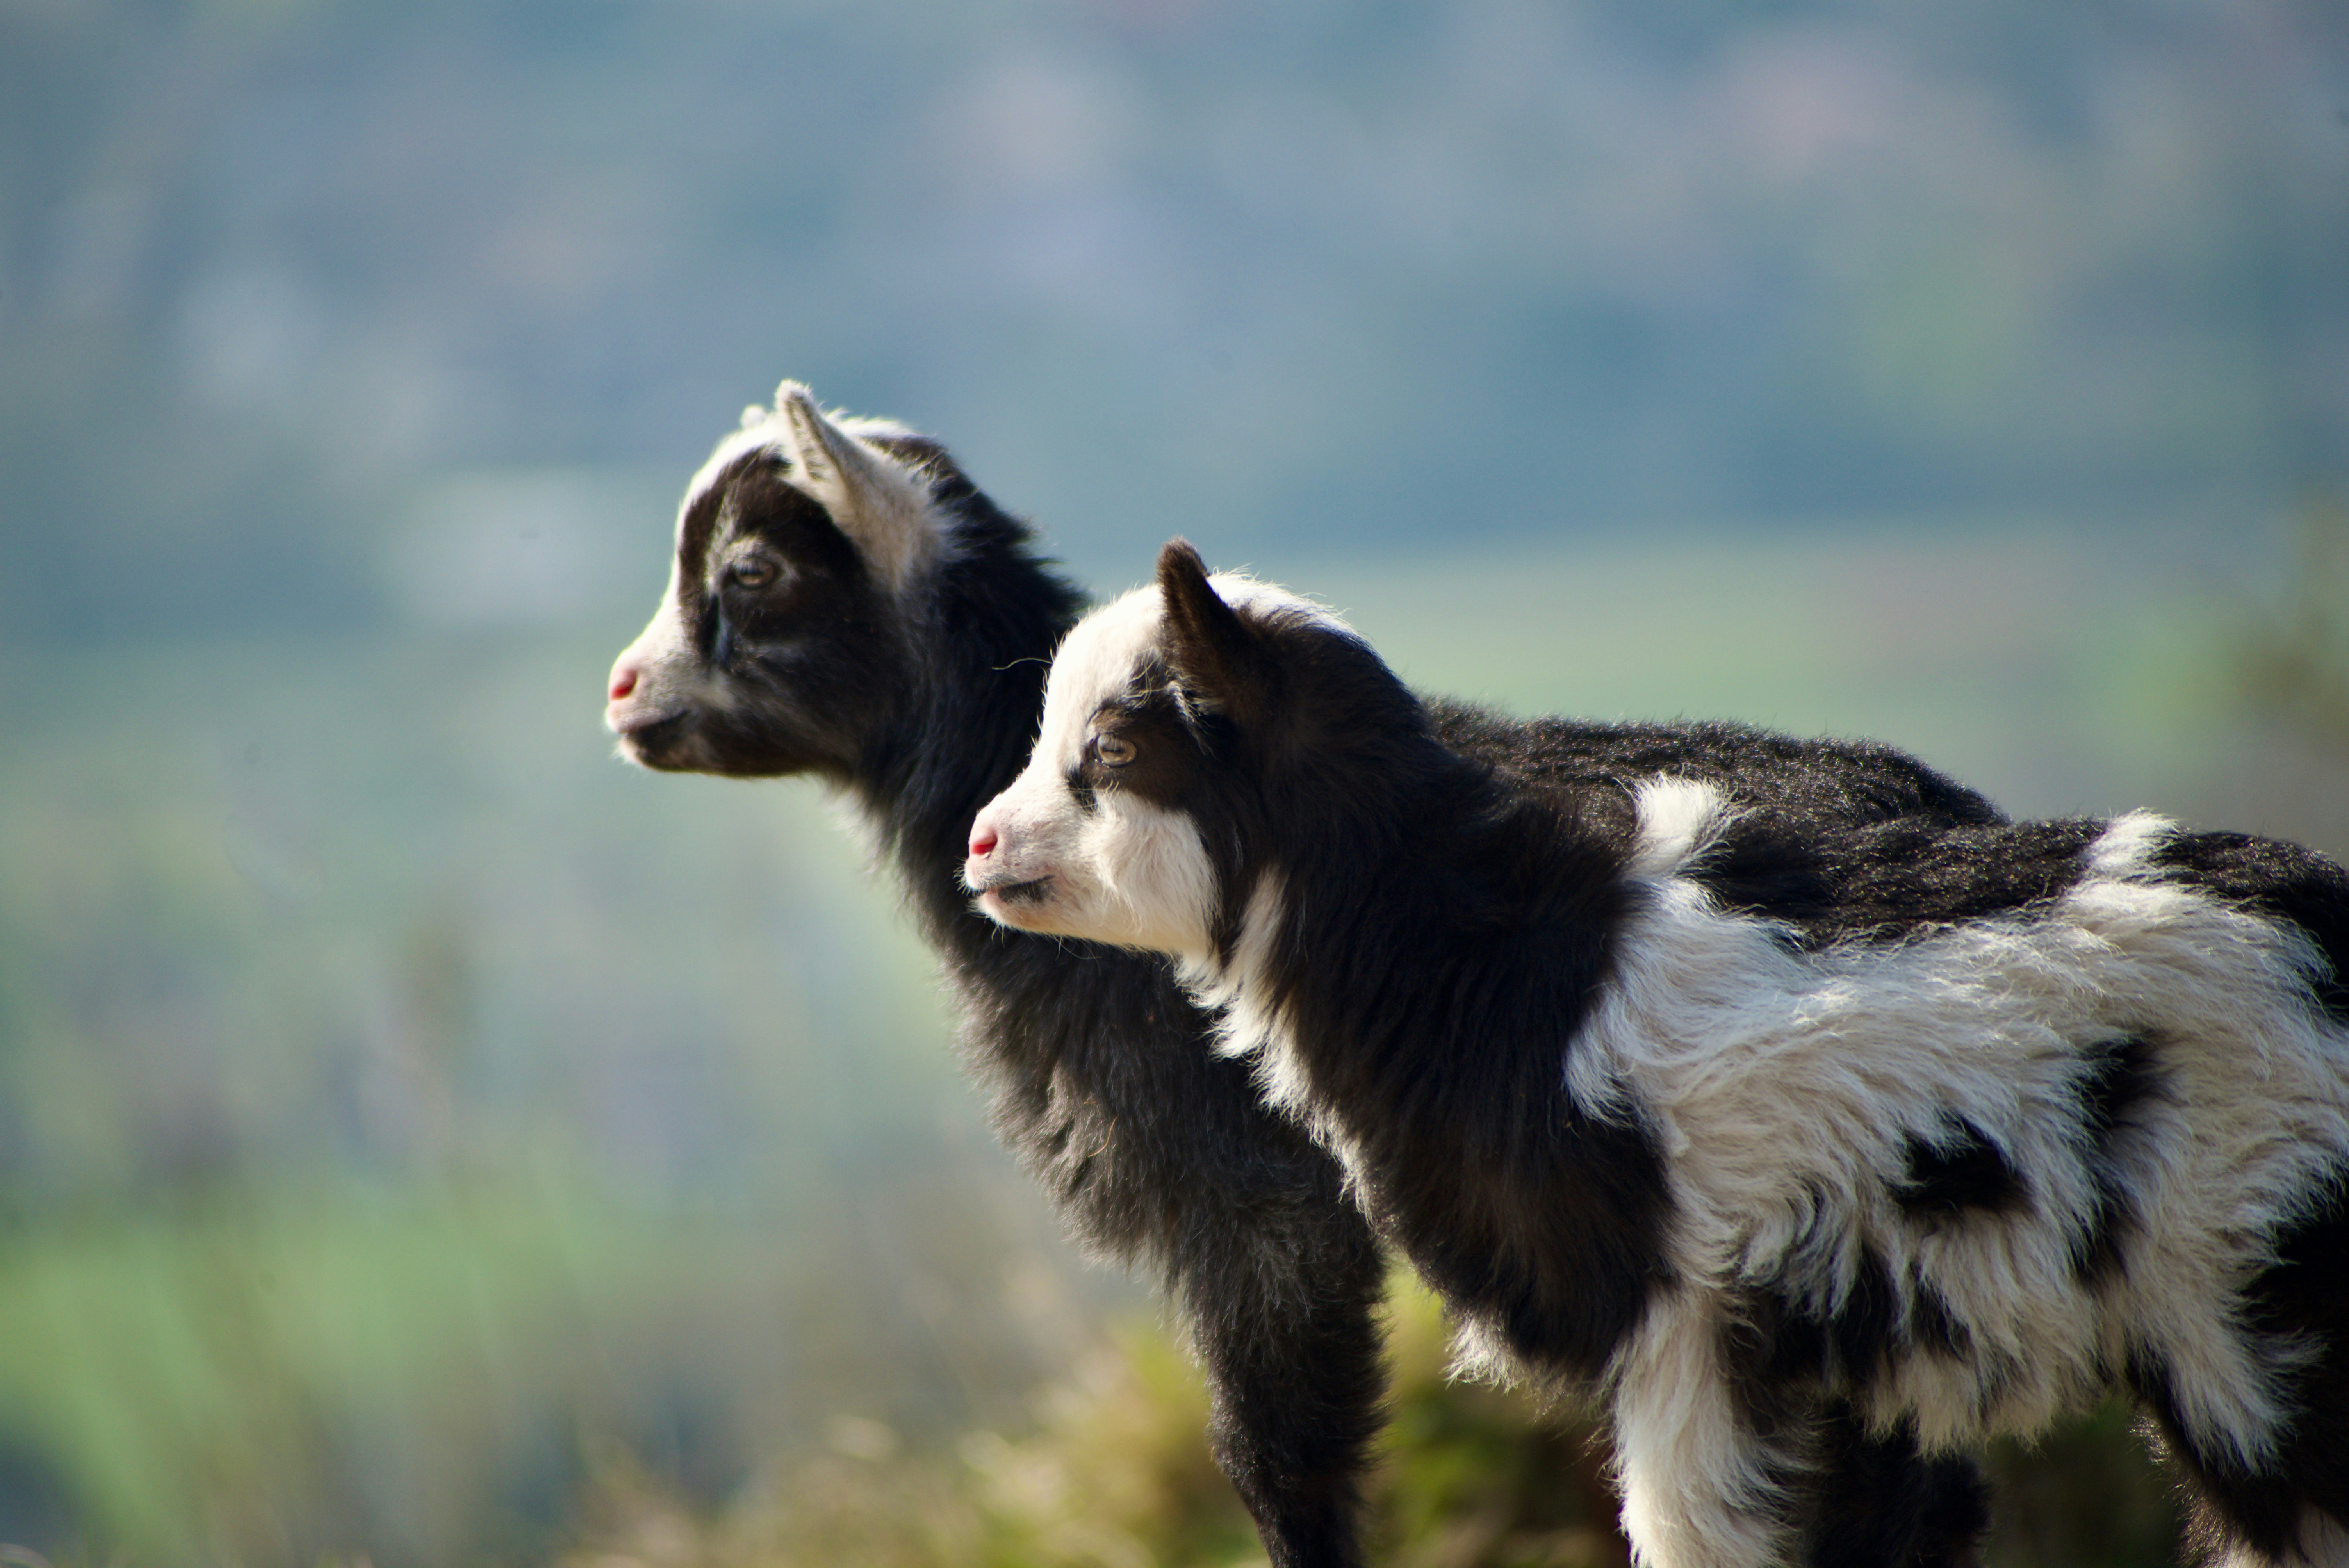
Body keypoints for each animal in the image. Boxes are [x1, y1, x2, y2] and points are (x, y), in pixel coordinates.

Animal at [966, 538, 2349, 1568]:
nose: (981, 845)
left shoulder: (1690, 1327)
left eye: (1116, 750)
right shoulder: (1840, 1376)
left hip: (2251, 1306)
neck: (1486, 963)